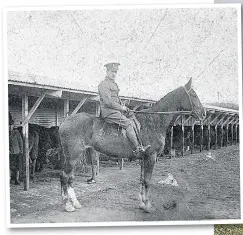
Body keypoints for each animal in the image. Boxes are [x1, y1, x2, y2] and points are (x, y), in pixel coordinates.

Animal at [58, 78, 206, 213]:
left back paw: (75, 203)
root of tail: (64, 122)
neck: (154, 121)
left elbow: (141, 179)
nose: (203, 113)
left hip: (76, 155)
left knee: (70, 178)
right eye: (193, 95)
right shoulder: (151, 157)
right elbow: (147, 180)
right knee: (65, 176)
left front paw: (141, 203)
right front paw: (148, 205)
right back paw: (68, 205)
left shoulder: (143, 158)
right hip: (73, 156)